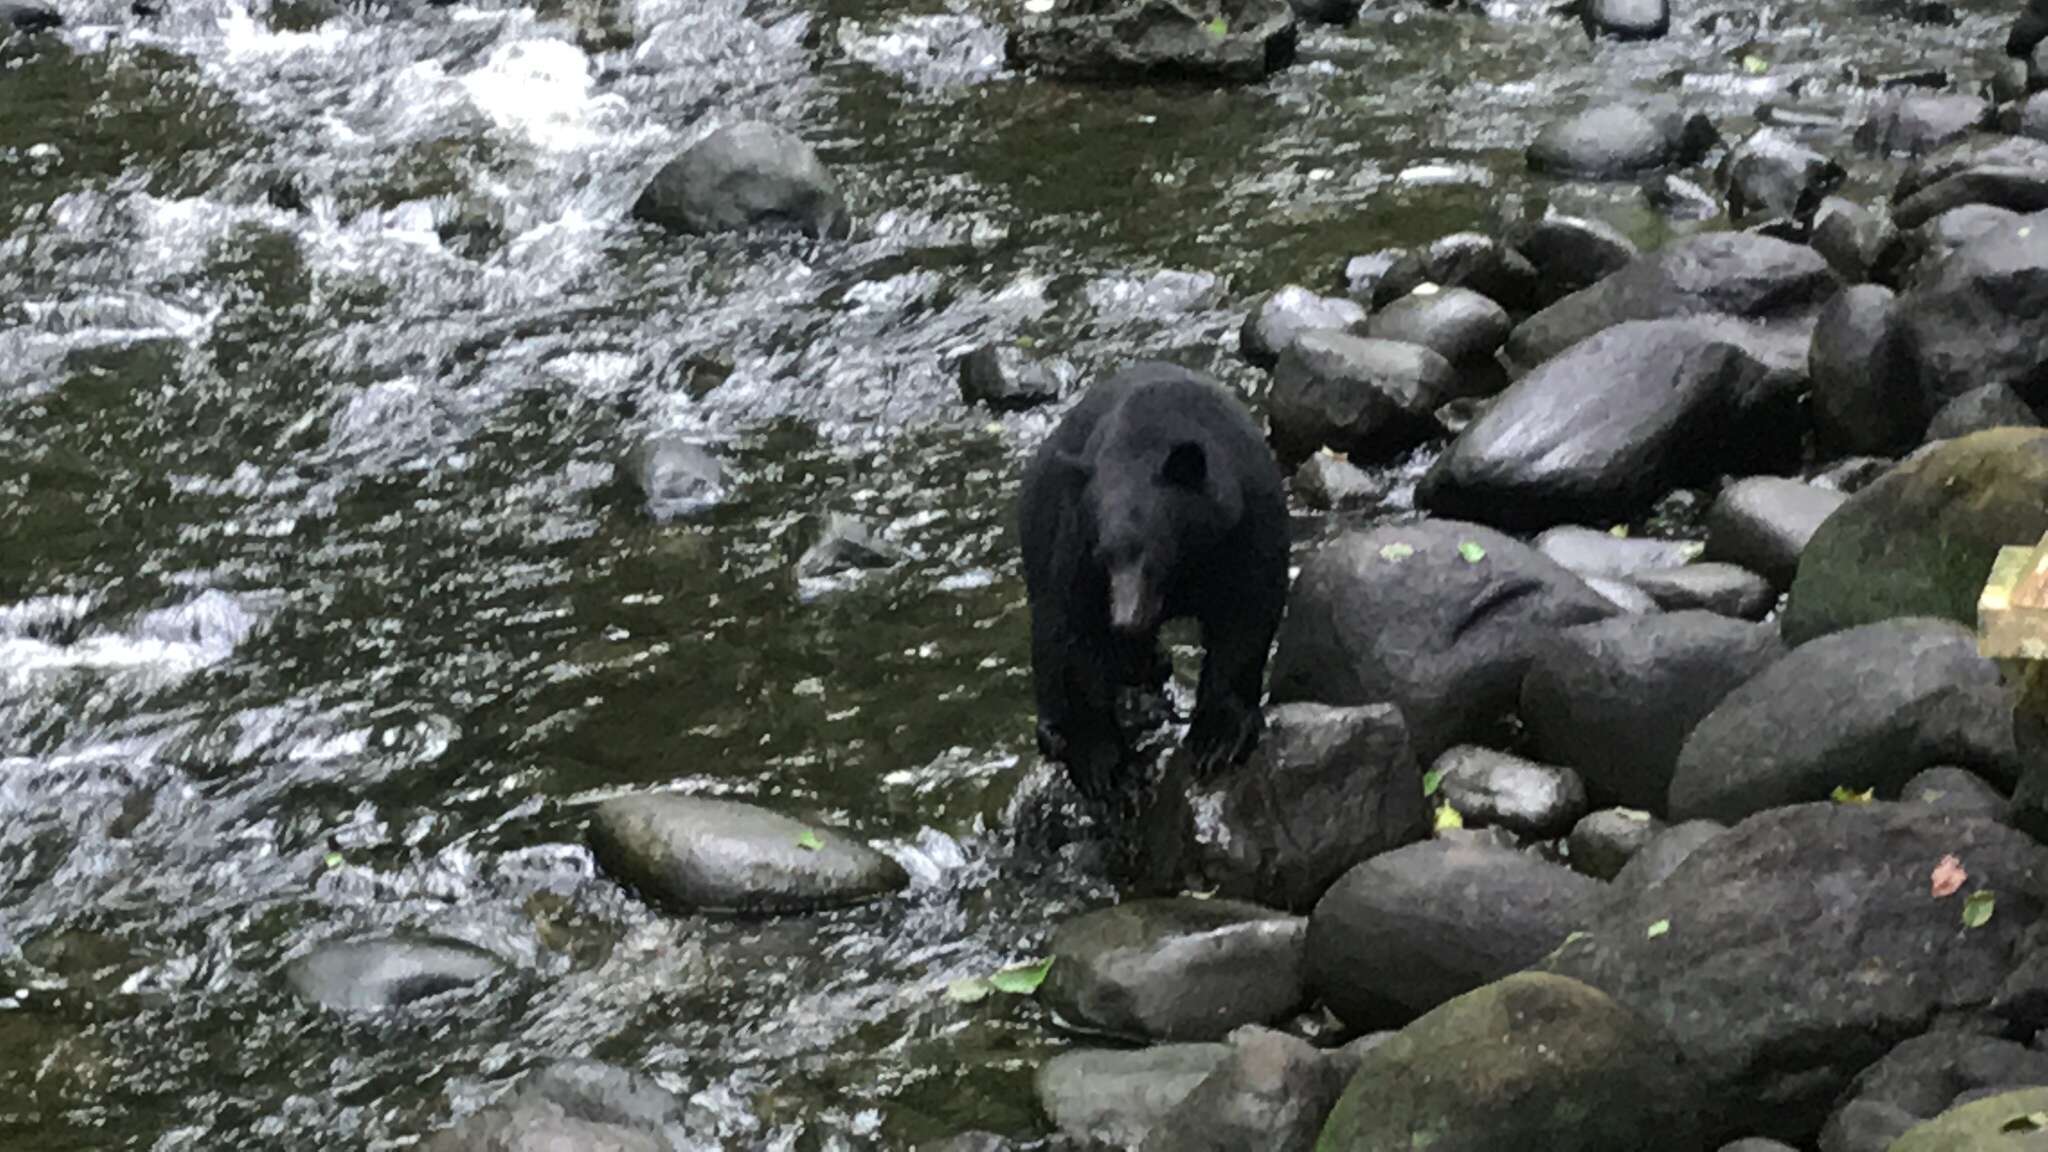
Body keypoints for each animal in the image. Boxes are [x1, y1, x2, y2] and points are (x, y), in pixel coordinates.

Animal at [1019, 358, 1286, 799]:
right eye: (1104, 555)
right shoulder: (1078, 546)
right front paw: (1106, 768)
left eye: (1153, 552)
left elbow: (1246, 613)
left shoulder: (1247, 523)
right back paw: (1058, 729)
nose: (1126, 620)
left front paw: (1217, 739)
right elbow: (1077, 632)